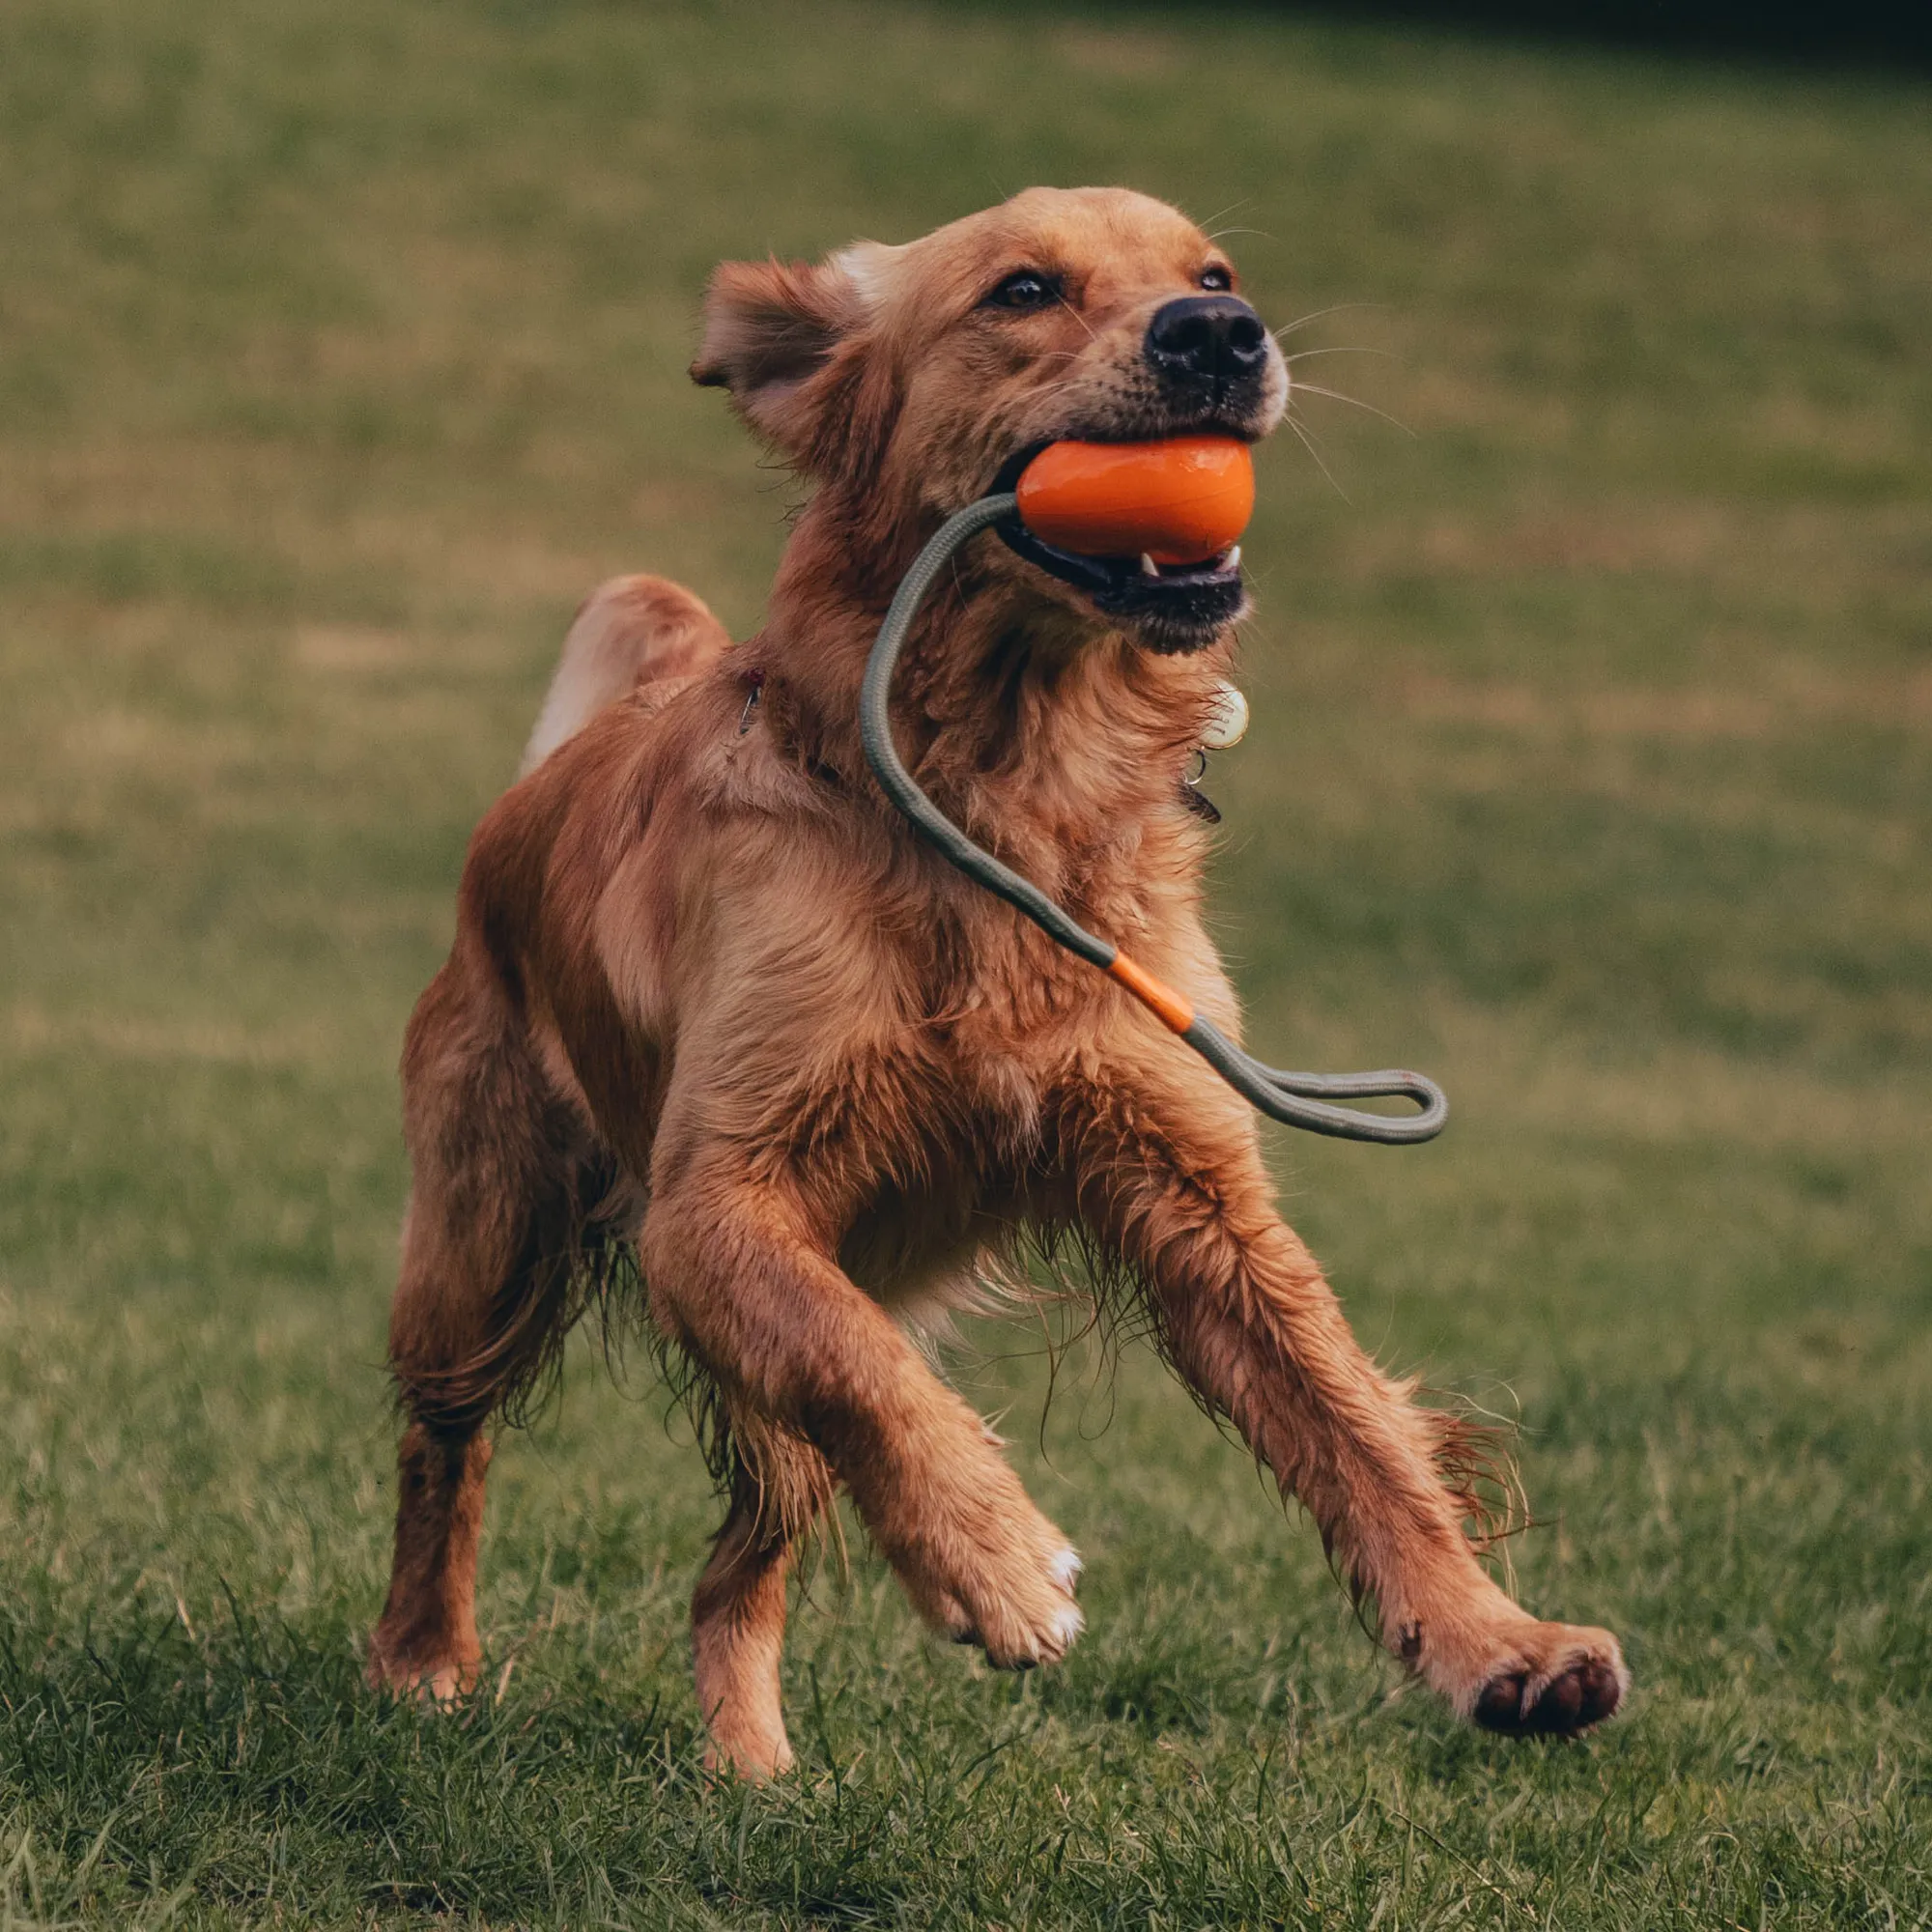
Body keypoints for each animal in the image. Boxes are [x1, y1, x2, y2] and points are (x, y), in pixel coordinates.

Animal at [365, 188, 1631, 1770]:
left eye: (1215, 271)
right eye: (1023, 290)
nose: (1221, 336)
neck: (999, 794)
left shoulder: (1195, 1186)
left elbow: (1357, 1431)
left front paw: (1496, 1642)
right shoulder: (713, 1207)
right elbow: (862, 1371)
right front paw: (998, 1560)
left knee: (740, 1561)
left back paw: (748, 1768)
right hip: (483, 1241)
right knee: (447, 1446)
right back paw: (422, 1656)